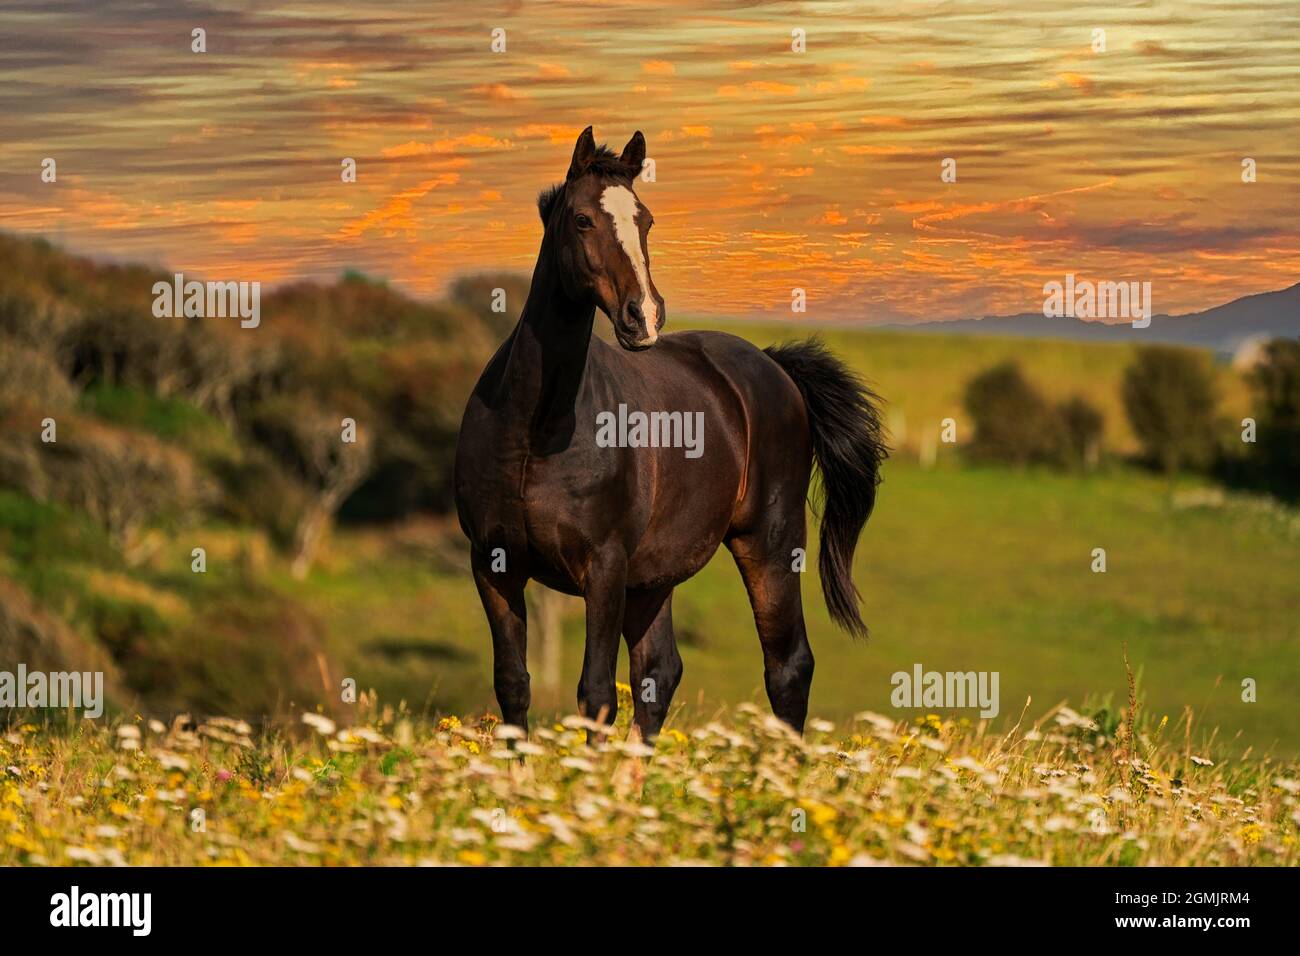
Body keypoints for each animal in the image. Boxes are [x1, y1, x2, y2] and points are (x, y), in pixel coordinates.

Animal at [452, 127, 889, 738]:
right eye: (582, 219)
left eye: (647, 221)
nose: (645, 317)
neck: (535, 431)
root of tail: (775, 368)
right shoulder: (495, 565)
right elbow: (514, 687)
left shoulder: (604, 570)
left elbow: (595, 694)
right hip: (653, 579)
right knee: (659, 674)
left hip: (770, 543)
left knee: (788, 667)